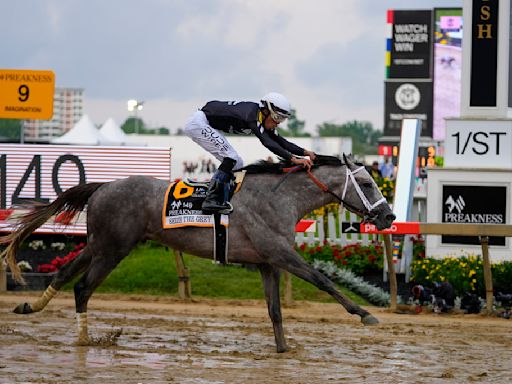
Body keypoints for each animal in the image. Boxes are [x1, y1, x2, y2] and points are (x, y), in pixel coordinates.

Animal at [0, 154, 394, 352]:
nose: (388, 216)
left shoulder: (267, 262)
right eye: (367, 182)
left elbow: (275, 310)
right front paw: (365, 315)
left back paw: (30, 306)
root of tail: (104, 185)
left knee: (63, 274)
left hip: (100, 244)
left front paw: (283, 349)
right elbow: (323, 281)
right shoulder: (281, 253)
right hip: (114, 248)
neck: (281, 197)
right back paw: (84, 339)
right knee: (82, 288)